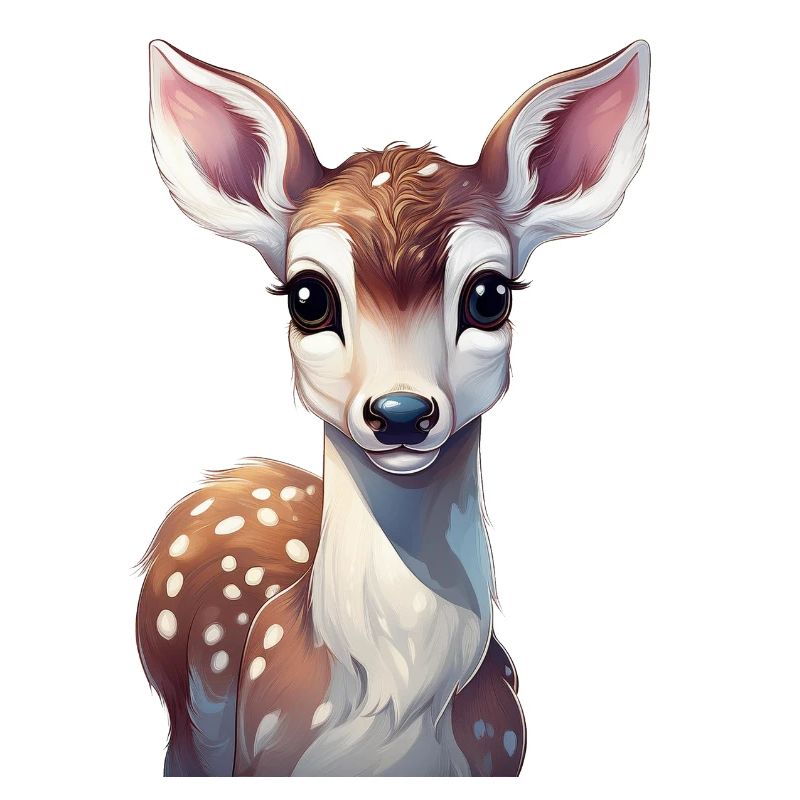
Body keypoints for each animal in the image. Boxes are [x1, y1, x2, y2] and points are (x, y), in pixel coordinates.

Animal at [137, 39, 650, 777]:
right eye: (307, 296)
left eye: (490, 294)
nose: (401, 411)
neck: (389, 731)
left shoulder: (503, 747)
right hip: (184, 728)